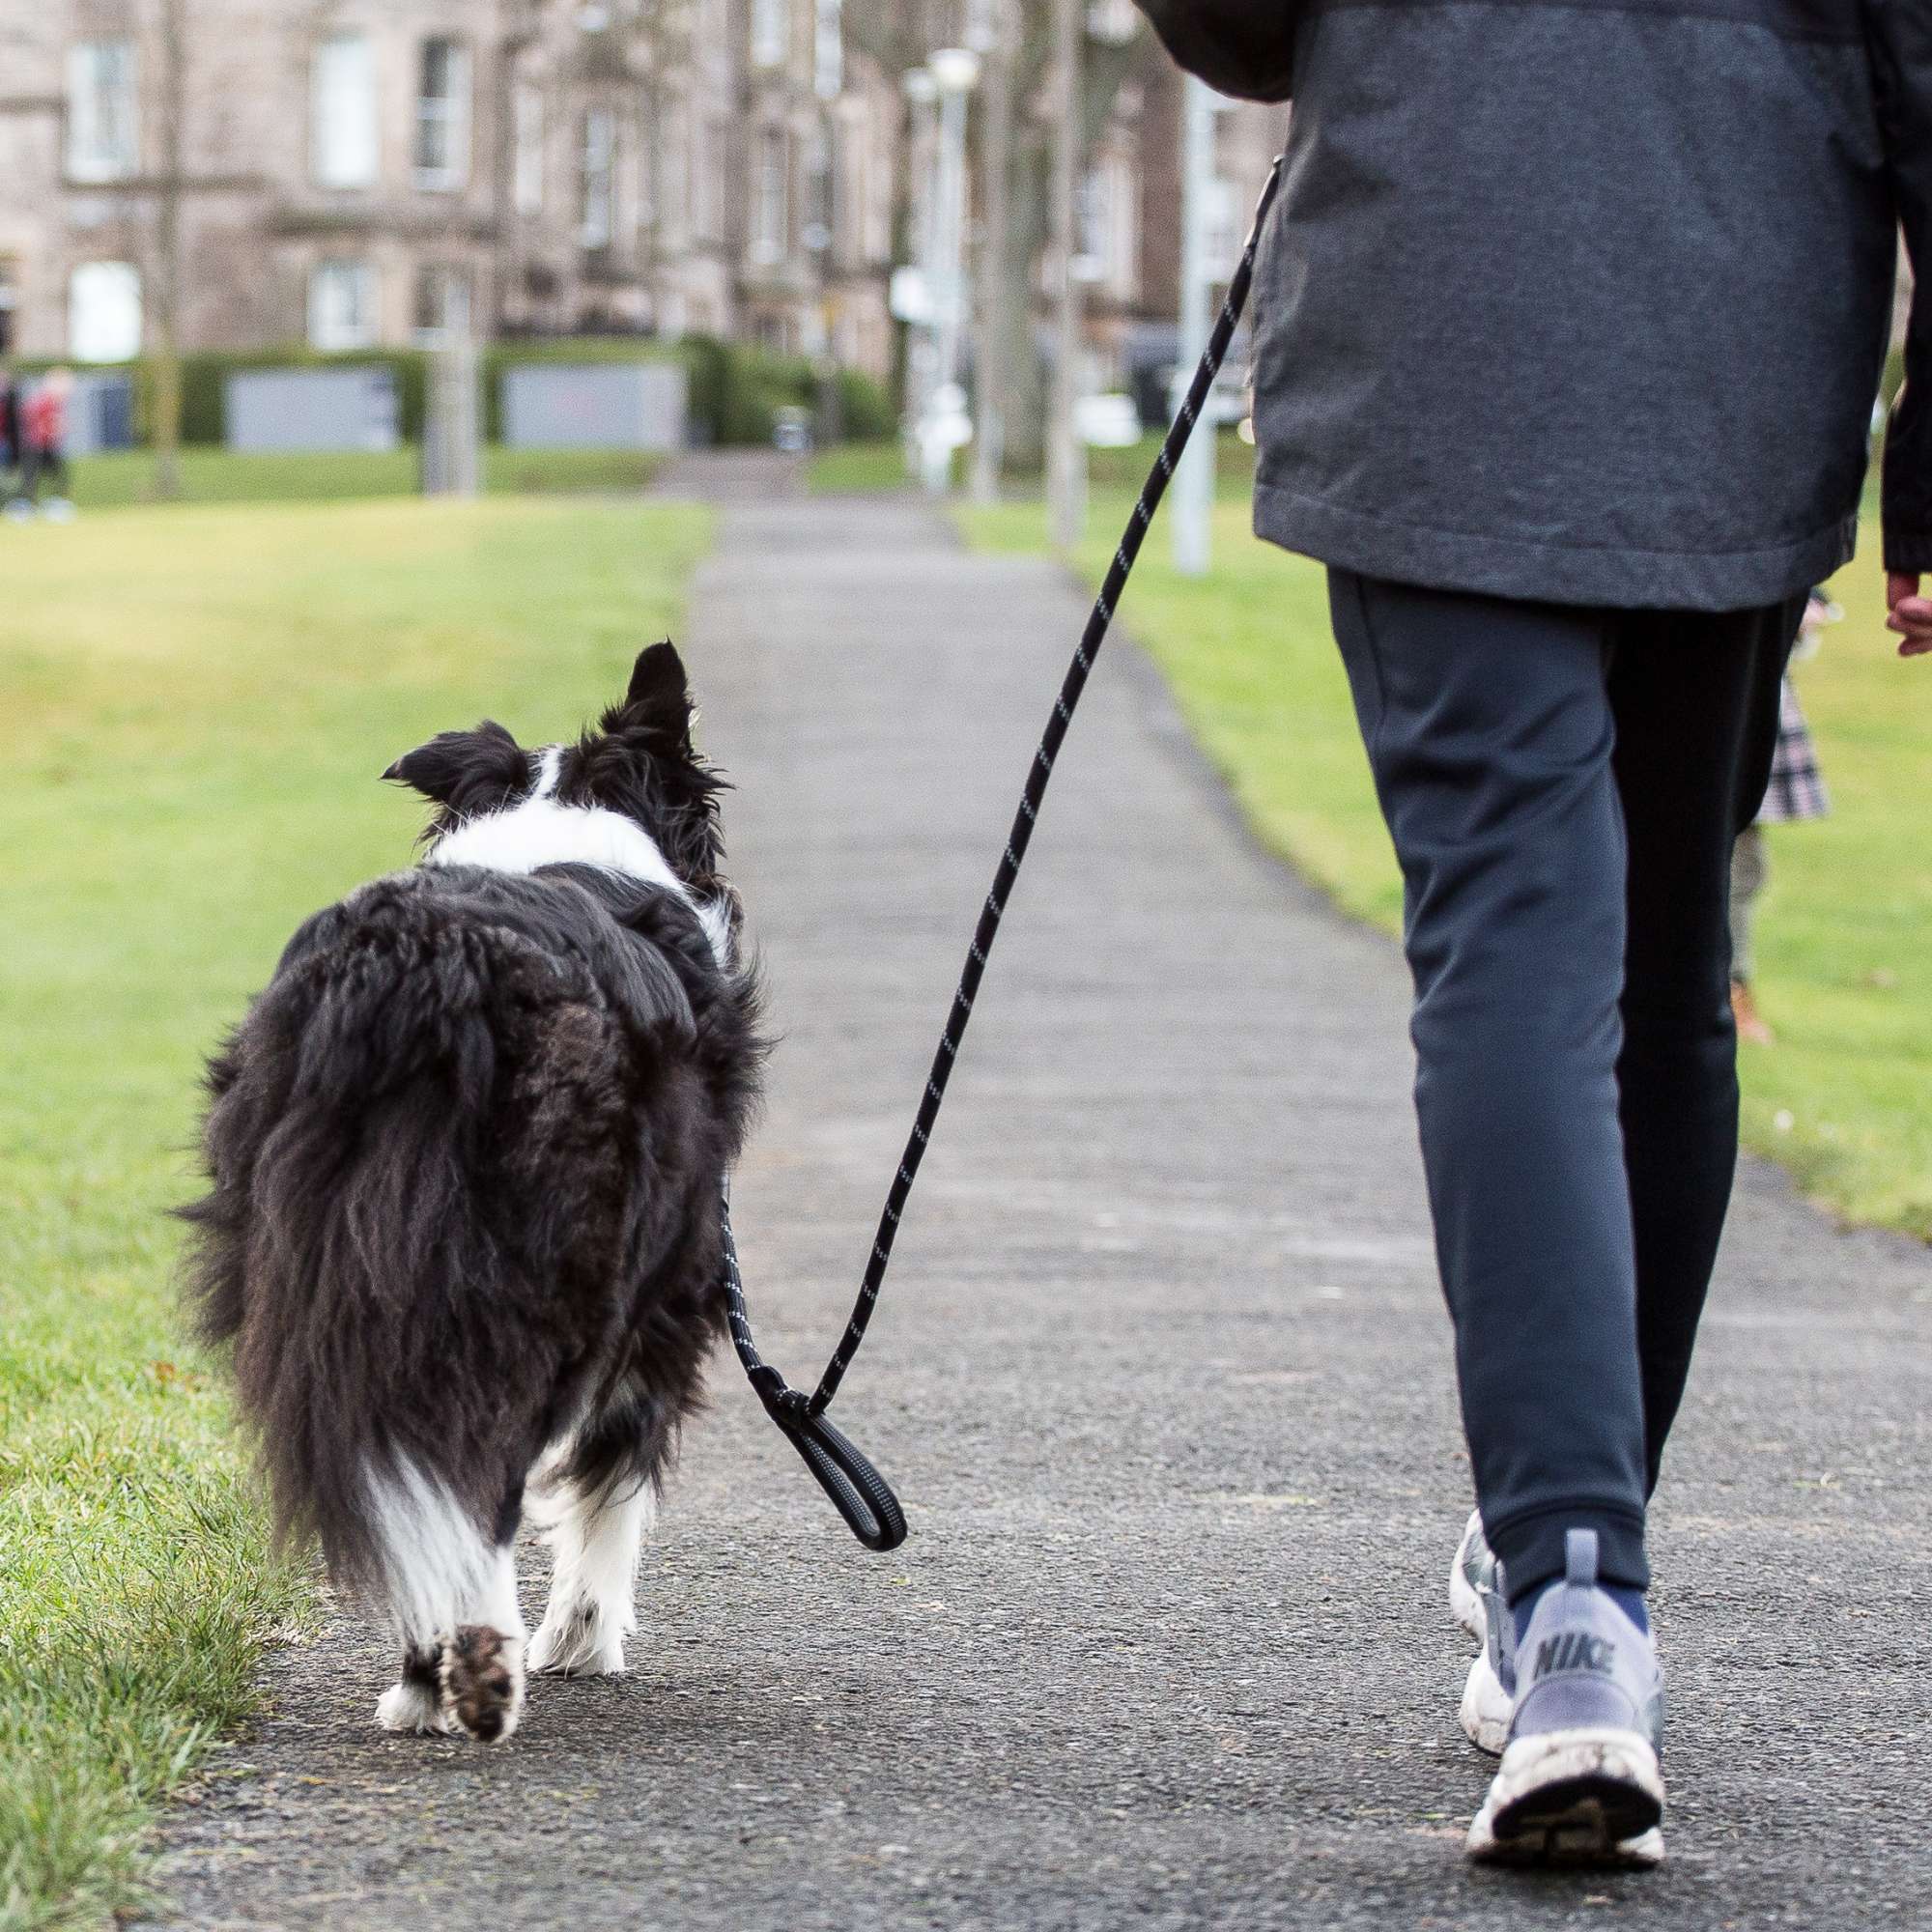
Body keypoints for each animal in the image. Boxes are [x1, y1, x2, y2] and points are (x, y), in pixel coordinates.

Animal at [183, 649, 761, 1754]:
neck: (564, 826)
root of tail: (425, 962)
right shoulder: (670, 1285)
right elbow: (613, 1474)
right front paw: (583, 1636)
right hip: (556, 1274)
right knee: (478, 1469)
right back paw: (487, 1669)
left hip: (309, 1257)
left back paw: (423, 1684)